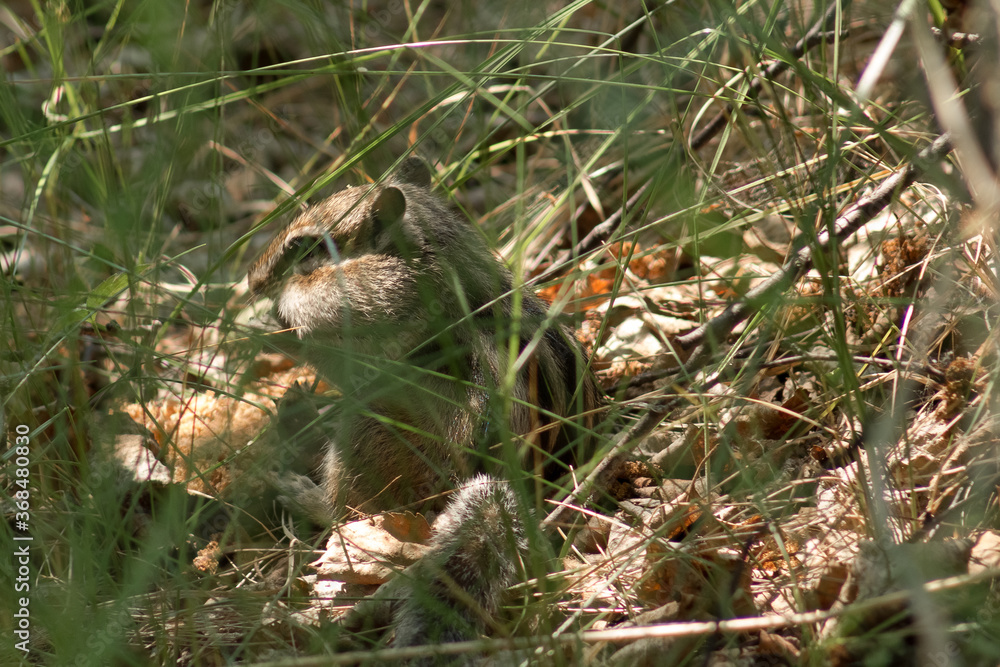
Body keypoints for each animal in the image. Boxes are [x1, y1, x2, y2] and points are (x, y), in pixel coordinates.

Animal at [246, 156, 600, 651]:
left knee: (346, 514)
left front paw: (273, 324)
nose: (251, 279)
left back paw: (304, 494)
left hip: (369, 436)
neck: (440, 252)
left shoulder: (383, 308)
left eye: (302, 248)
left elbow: (335, 349)